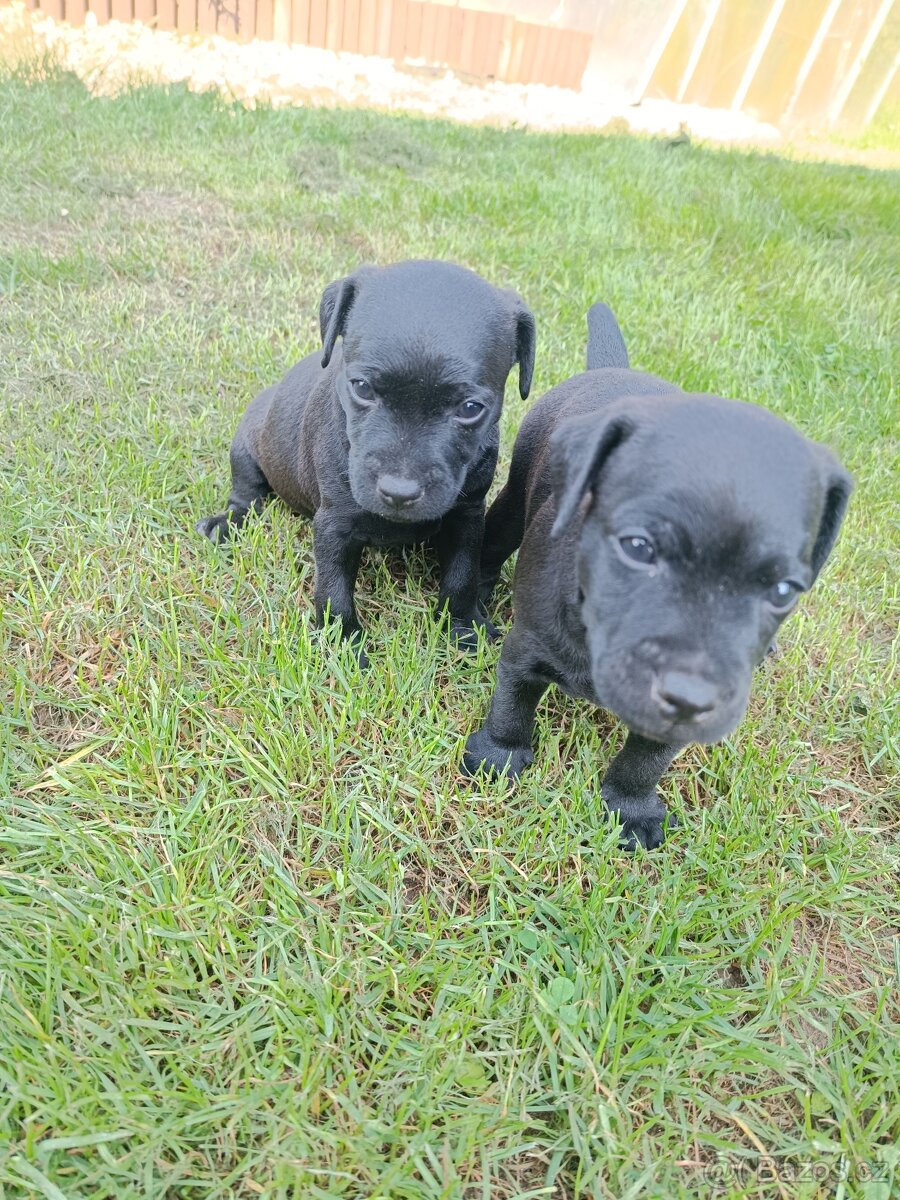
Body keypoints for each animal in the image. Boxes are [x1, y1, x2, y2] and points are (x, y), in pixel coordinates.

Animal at [198, 258, 535, 662]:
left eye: (471, 409)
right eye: (361, 388)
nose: (399, 492)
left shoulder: (467, 515)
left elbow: (462, 574)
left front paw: (464, 627)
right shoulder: (335, 523)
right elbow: (334, 588)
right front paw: (342, 641)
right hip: (247, 445)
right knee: (246, 492)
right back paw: (225, 522)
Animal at [465, 304, 854, 849]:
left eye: (783, 590)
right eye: (638, 548)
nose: (693, 695)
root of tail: (612, 371)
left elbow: (645, 760)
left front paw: (630, 809)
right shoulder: (527, 648)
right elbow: (511, 705)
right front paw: (497, 757)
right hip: (515, 498)